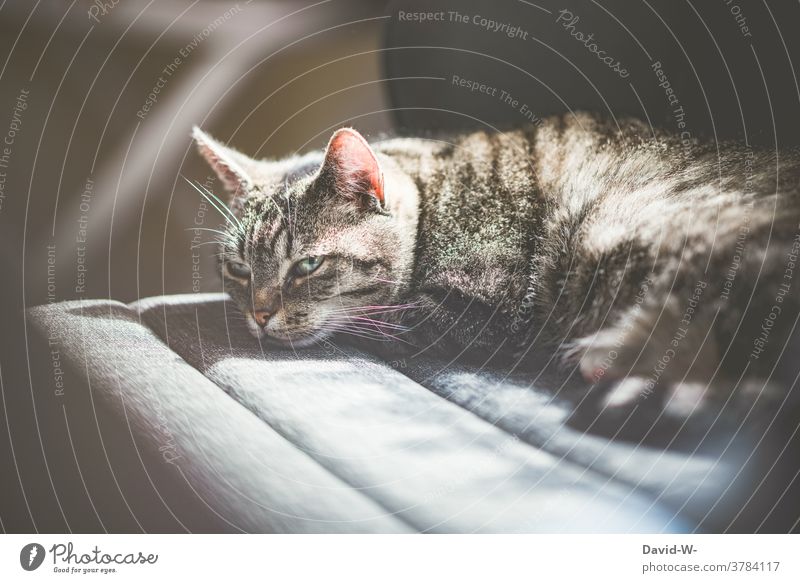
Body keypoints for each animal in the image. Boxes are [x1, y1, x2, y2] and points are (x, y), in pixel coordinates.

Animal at [192, 114, 800, 422]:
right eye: (239, 270)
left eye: (308, 265)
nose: (259, 315)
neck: (433, 194)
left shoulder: (488, 312)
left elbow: (386, 320)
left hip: (628, 224)